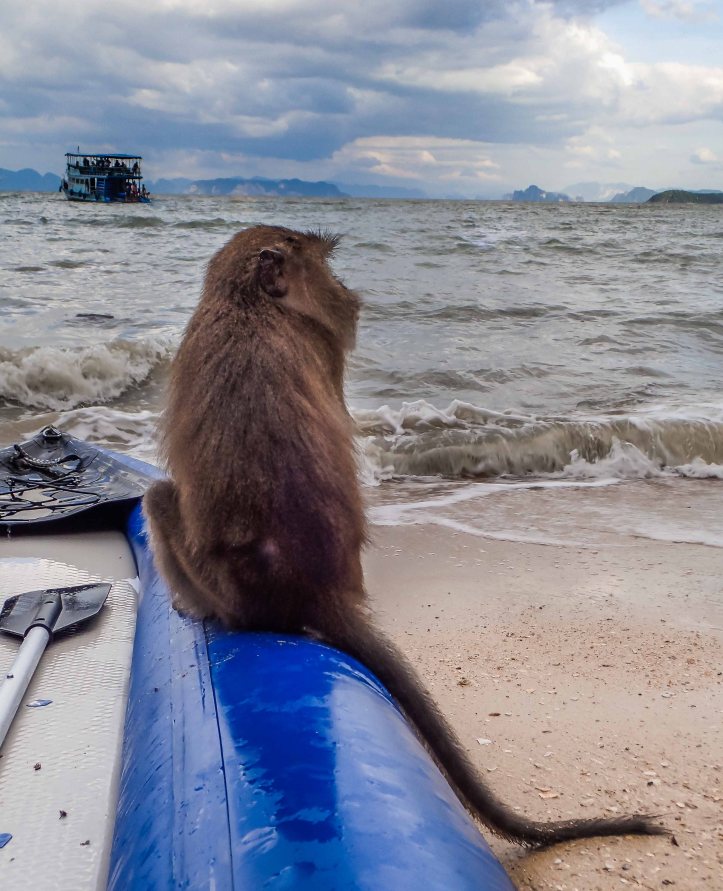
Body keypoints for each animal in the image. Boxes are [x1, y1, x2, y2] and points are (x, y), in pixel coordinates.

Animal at [143, 224, 667, 847]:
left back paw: (190, 604)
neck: (248, 304)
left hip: (228, 593)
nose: (346, 291)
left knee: (158, 498)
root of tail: (320, 594)